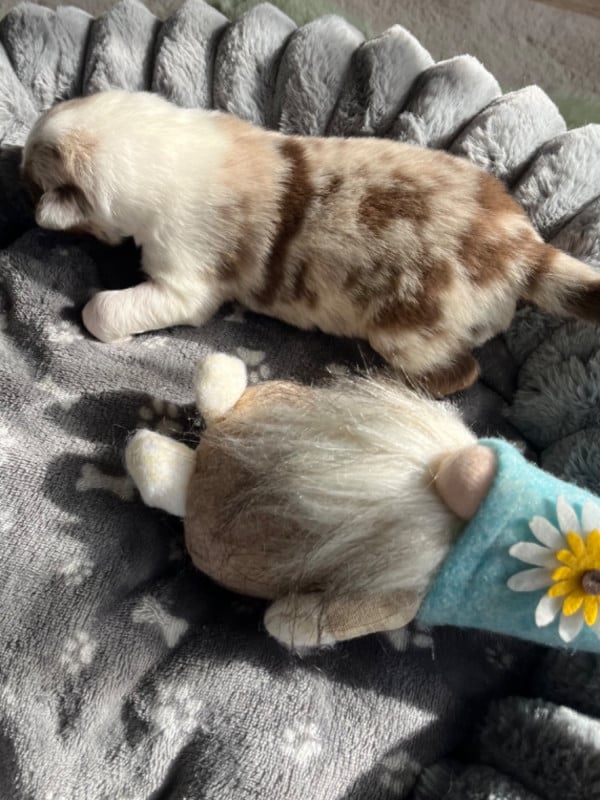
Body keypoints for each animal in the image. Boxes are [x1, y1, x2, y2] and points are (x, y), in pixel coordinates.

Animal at [21, 89, 600, 396]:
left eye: (34, 177)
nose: (17, 168)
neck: (161, 144)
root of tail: (522, 251)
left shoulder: (184, 285)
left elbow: (102, 311)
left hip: (411, 335)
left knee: (459, 374)